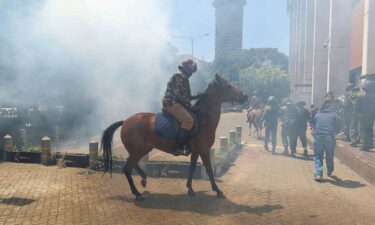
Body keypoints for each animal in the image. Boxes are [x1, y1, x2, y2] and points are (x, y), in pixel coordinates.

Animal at [103, 74, 248, 200]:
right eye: (227, 86)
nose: (245, 96)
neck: (202, 119)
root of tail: (125, 121)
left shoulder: (196, 151)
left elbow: (192, 168)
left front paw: (190, 189)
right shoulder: (204, 150)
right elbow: (209, 169)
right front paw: (218, 191)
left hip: (142, 149)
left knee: (132, 164)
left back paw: (144, 179)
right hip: (138, 150)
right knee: (127, 168)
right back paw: (137, 193)